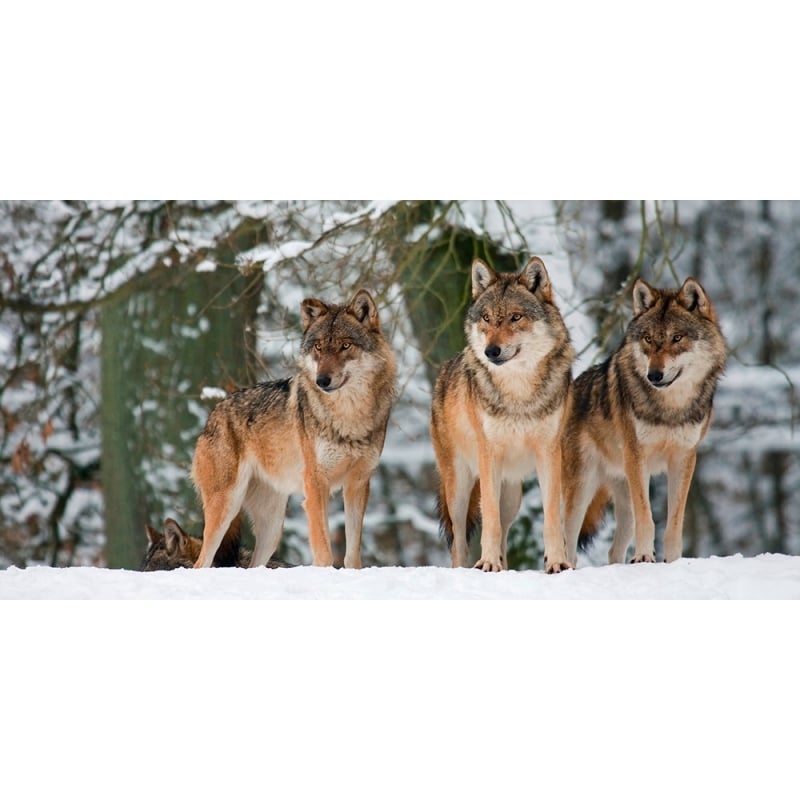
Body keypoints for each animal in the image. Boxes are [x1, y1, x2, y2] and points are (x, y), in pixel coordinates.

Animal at [191, 290, 396, 572]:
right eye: (318, 347)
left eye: (345, 346)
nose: (322, 381)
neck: (348, 416)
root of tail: (213, 414)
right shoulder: (315, 484)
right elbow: (323, 551)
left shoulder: (358, 483)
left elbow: (352, 554)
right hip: (226, 507)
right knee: (201, 562)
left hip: (273, 527)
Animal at [432, 260, 576, 572]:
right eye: (486, 318)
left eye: (515, 317)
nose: (491, 351)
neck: (518, 393)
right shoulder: (489, 455)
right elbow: (489, 521)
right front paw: (487, 562)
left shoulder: (549, 453)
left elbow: (551, 518)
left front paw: (556, 562)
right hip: (459, 490)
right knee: (459, 541)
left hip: (511, 496)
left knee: (505, 536)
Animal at [560, 278, 728, 564]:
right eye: (648, 339)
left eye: (677, 338)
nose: (654, 375)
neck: (670, 408)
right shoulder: (638, 457)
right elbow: (647, 518)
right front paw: (643, 557)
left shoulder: (684, 458)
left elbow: (674, 522)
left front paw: (672, 561)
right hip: (581, 489)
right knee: (567, 542)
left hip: (621, 495)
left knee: (613, 550)